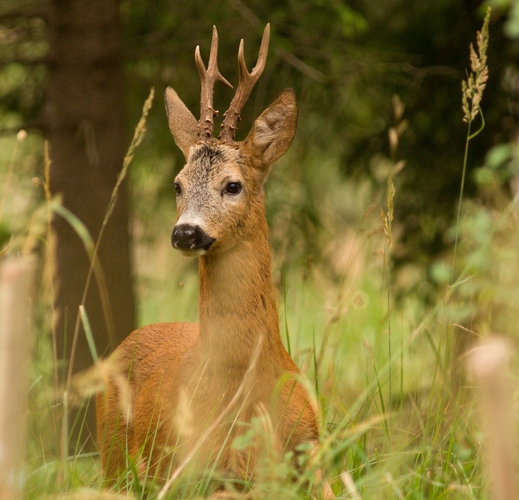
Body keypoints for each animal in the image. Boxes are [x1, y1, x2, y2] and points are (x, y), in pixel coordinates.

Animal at [97, 23, 334, 496]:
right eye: (177, 184)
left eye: (233, 185)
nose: (185, 232)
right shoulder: (191, 471)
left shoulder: (314, 457)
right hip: (111, 460)